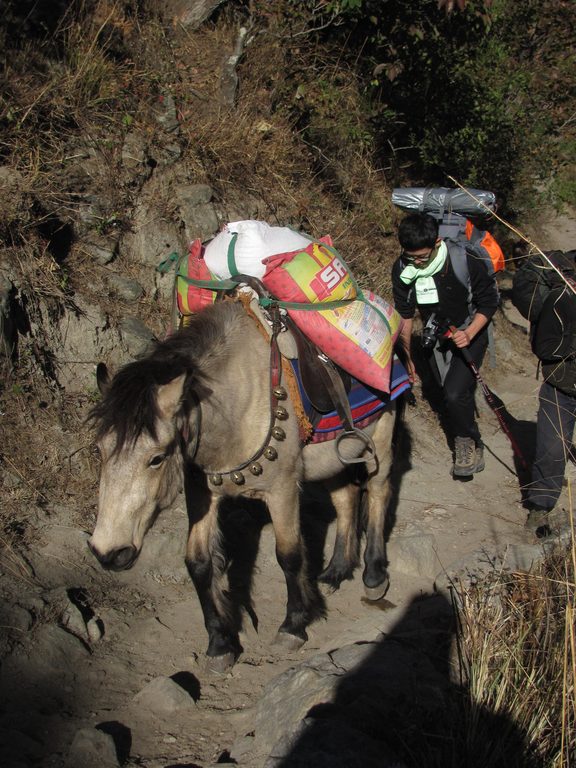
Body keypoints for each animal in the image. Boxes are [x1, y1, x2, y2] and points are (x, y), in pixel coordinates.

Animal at [89, 298, 400, 664]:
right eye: (99, 450)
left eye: (156, 458)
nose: (109, 552)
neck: (236, 399)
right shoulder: (200, 492)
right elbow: (198, 562)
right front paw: (219, 643)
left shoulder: (282, 489)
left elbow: (289, 555)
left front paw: (293, 627)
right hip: (335, 457)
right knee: (346, 497)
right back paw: (335, 571)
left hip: (381, 438)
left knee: (378, 493)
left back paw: (374, 576)